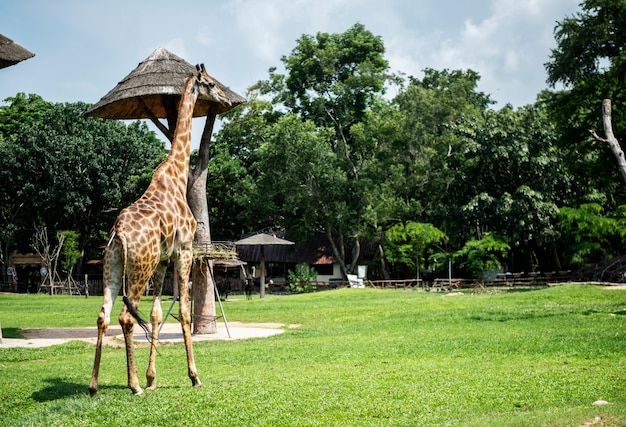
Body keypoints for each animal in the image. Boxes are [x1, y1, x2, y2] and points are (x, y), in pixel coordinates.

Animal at [89, 64, 230, 398]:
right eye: (211, 84)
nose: (227, 100)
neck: (177, 174)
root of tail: (119, 233)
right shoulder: (185, 252)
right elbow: (185, 312)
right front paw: (193, 376)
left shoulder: (163, 261)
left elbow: (155, 314)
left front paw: (153, 377)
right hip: (139, 267)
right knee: (126, 316)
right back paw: (134, 385)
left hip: (114, 266)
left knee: (103, 316)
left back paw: (94, 385)